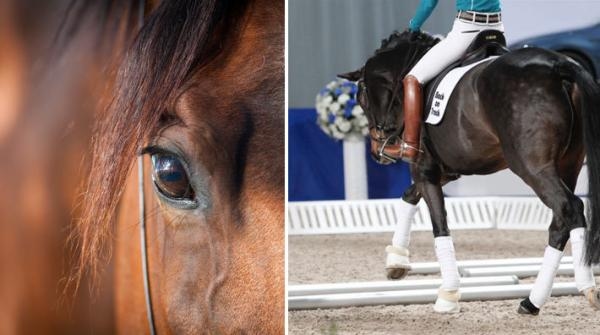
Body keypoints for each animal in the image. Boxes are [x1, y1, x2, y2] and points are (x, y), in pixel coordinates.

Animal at [340, 30, 600, 316]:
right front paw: (396, 261)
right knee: (560, 222)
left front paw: (448, 294)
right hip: (569, 164)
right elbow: (410, 195)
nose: (379, 152)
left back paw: (586, 288)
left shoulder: (425, 169)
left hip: (533, 167)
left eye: (361, 99)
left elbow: (439, 223)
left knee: (570, 208)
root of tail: (557, 66)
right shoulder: (444, 170)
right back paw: (531, 301)